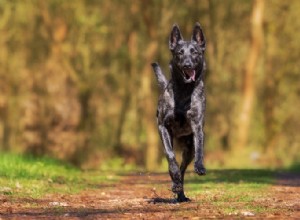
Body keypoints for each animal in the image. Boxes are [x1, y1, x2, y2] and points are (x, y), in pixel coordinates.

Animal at [152, 22, 206, 203]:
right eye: (179, 53)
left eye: (195, 52)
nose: (187, 65)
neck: (184, 91)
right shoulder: (163, 127)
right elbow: (170, 157)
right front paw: (173, 176)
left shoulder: (197, 126)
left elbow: (200, 148)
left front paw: (200, 166)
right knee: (175, 166)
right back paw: (176, 185)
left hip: (188, 149)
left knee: (183, 169)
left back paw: (181, 194)